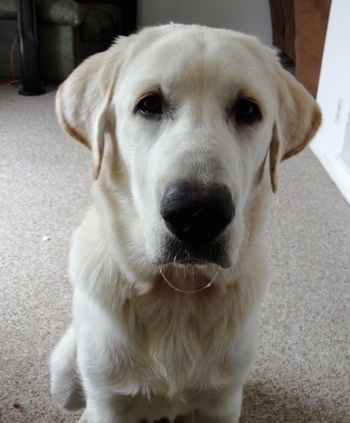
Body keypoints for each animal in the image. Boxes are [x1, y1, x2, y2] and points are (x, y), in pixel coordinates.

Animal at [50, 24, 322, 423]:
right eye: (149, 104)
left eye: (247, 110)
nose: (197, 213)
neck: (178, 294)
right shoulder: (109, 403)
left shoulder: (222, 404)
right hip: (64, 374)